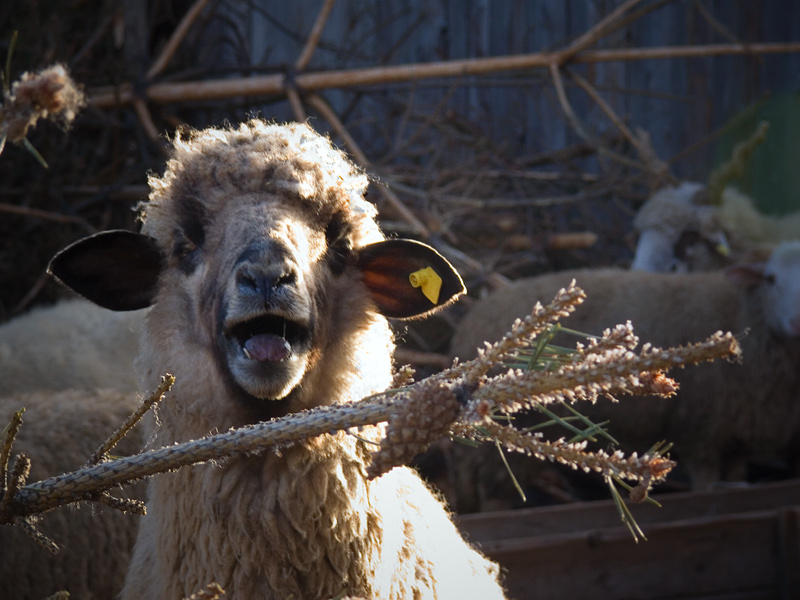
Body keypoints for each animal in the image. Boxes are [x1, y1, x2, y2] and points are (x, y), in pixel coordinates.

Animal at [450, 241, 800, 491]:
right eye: (771, 279)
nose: (795, 322)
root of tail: (472, 316)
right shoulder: (702, 431)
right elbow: (705, 484)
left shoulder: (735, 434)